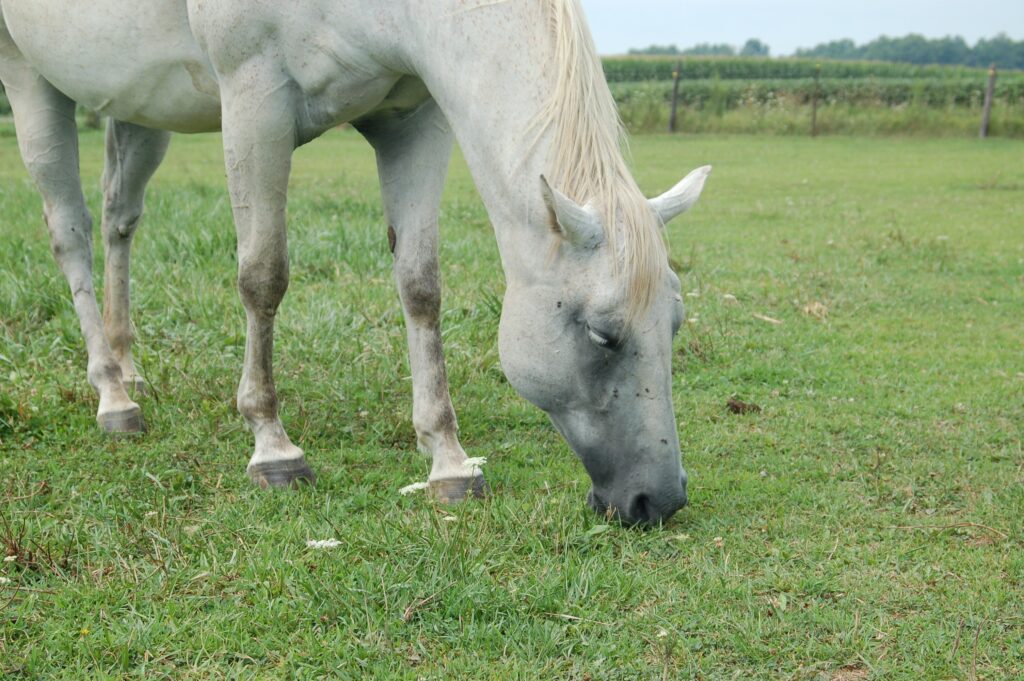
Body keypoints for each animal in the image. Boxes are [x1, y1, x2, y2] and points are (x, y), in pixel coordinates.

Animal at [0, 0, 710, 525]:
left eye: (674, 324)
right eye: (602, 334)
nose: (659, 500)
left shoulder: (415, 119)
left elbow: (420, 286)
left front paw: (448, 461)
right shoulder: (254, 101)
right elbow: (263, 276)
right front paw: (272, 447)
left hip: (138, 103)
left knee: (119, 219)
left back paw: (128, 367)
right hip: (29, 79)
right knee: (71, 233)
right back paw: (112, 396)